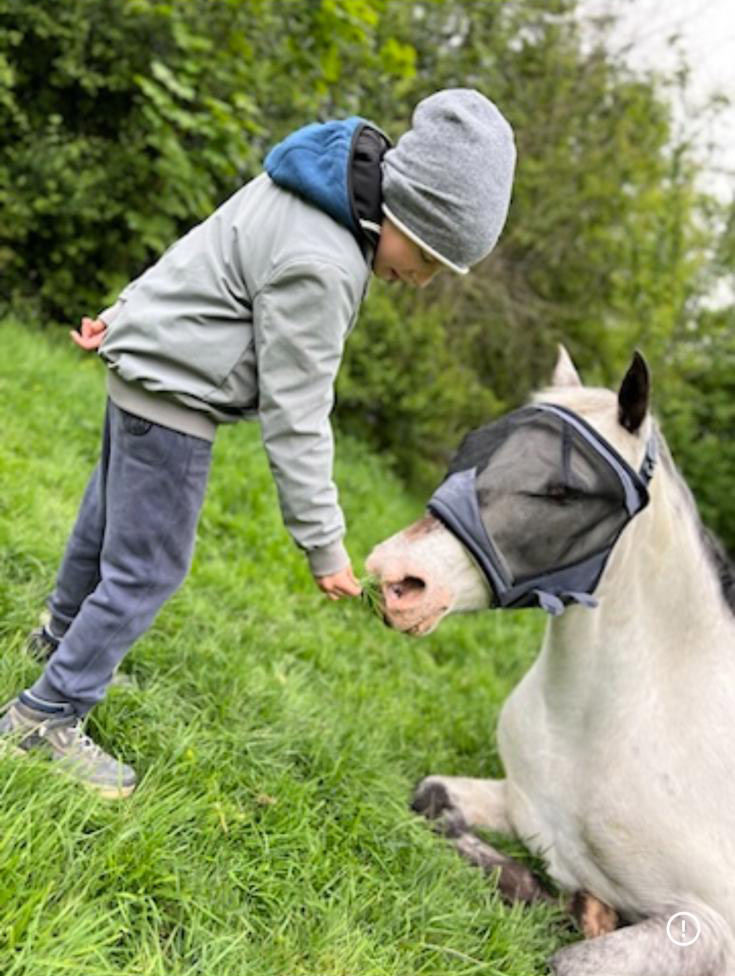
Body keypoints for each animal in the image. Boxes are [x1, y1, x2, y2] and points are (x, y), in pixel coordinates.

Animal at [365, 347, 735, 976]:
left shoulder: (712, 928)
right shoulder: (522, 805)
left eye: (565, 491)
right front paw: (551, 897)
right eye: (472, 445)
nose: (396, 578)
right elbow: (433, 798)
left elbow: (570, 960)